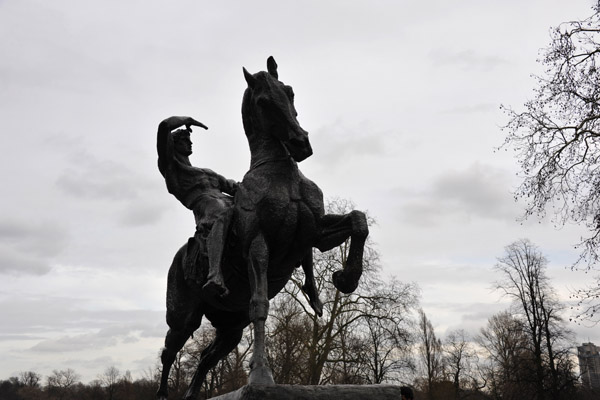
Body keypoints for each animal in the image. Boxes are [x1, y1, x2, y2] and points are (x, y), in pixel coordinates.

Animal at [157, 57, 368, 400]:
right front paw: (261, 375)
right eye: (263, 101)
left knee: (206, 356)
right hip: (183, 318)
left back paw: (192, 393)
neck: (282, 175)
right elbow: (260, 306)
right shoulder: (258, 245)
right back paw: (164, 393)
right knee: (169, 350)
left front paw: (346, 278)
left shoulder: (315, 236)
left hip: (231, 324)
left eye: (289, 91)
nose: (300, 143)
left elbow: (358, 221)